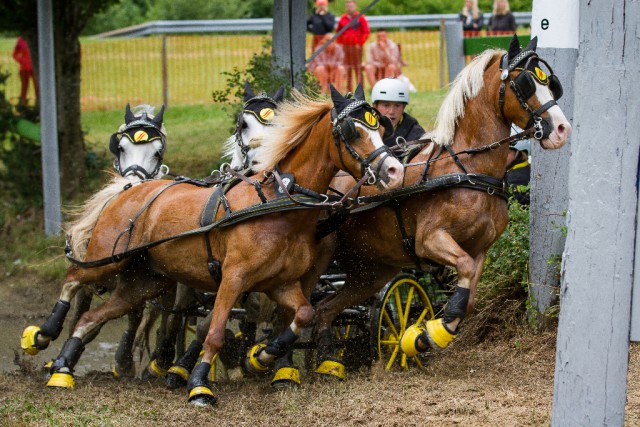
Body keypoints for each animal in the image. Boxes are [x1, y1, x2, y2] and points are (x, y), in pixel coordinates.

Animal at [30, 84, 404, 408]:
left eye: (380, 129)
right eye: (353, 132)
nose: (395, 169)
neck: (277, 202)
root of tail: (129, 188)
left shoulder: (280, 284)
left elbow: (303, 314)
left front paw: (261, 357)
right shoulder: (232, 279)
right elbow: (214, 331)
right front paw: (198, 384)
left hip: (144, 281)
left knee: (91, 317)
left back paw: (62, 368)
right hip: (108, 260)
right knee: (74, 280)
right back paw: (43, 335)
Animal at [298, 36, 572, 378]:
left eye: (551, 83)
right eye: (525, 84)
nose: (561, 129)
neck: (469, 169)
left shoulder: (479, 248)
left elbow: (468, 298)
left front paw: (426, 335)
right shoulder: (430, 240)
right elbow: (462, 271)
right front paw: (426, 333)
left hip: (369, 272)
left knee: (323, 309)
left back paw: (327, 360)